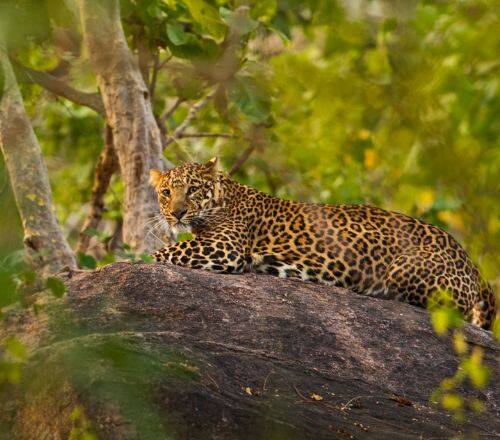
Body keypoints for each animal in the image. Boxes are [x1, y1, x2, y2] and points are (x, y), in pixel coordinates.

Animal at [148, 159, 496, 330]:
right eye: (166, 192)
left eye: (192, 190)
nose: (176, 213)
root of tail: (472, 264)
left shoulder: (224, 247)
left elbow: (159, 254)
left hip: (404, 269)